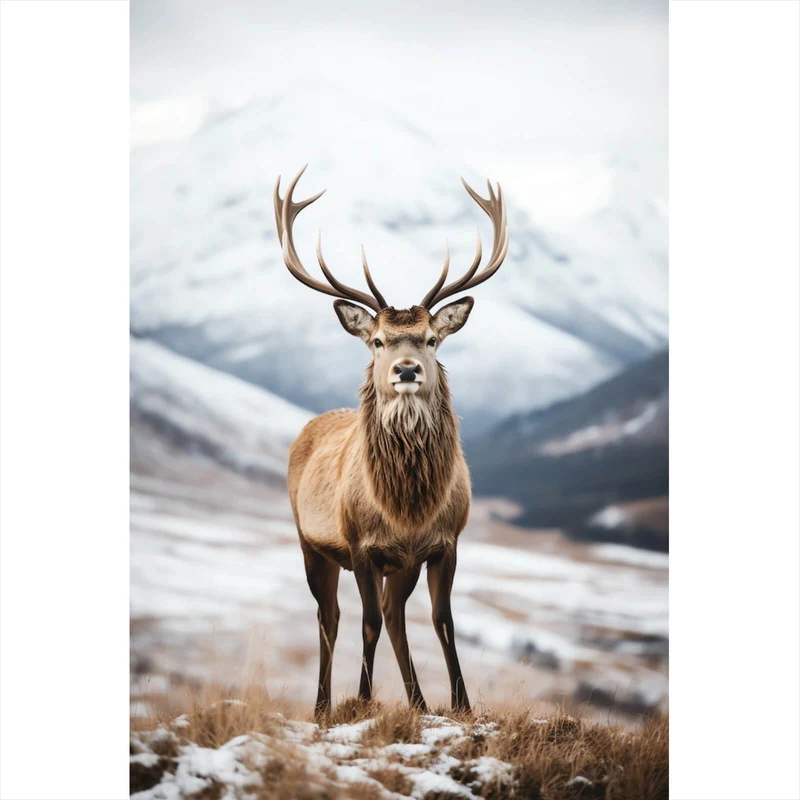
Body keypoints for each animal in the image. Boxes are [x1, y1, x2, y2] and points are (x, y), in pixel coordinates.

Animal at [274, 166, 508, 718]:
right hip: (311, 542)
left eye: (431, 338)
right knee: (332, 616)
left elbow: (442, 621)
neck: (406, 507)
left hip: (401, 565)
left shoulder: (444, 542)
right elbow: (367, 622)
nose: (405, 369)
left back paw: (418, 702)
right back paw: (322, 705)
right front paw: (360, 700)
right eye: (378, 341)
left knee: (395, 614)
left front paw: (462, 705)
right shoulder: (360, 543)